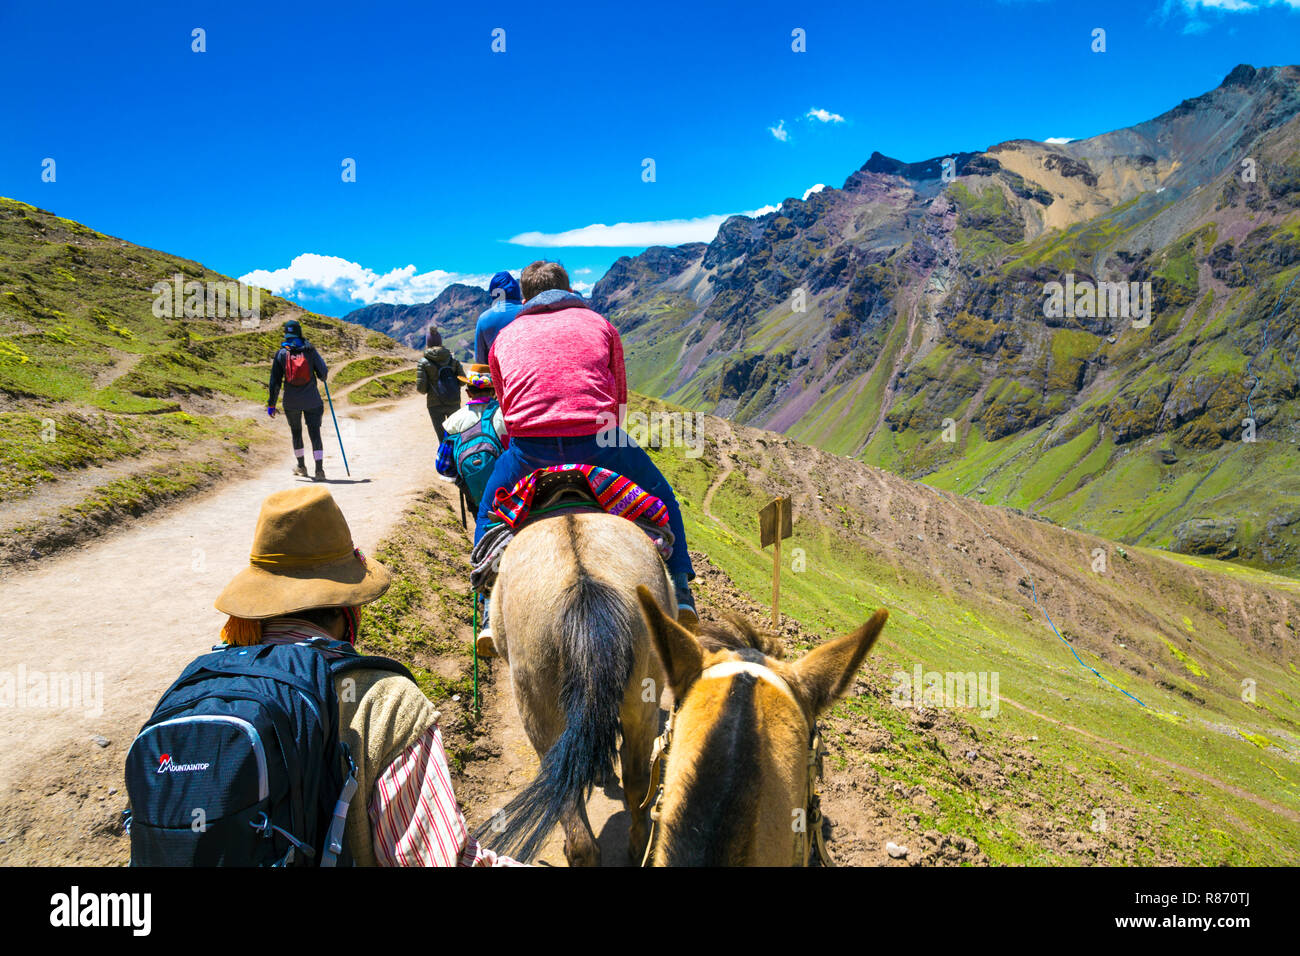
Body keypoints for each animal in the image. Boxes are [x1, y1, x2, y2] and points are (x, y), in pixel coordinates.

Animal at [480, 515, 681, 868]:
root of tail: (585, 584)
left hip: (539, 714)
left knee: (569, 800)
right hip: (641, 705)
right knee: (637, 784)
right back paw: (638, 847)